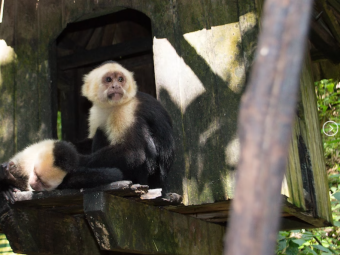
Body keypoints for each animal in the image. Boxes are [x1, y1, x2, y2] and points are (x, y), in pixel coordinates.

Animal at [0, 61, 174, 201]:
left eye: (120, 79)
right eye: (109, 80)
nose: (116, 86)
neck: (112, 107)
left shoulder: (128, 109)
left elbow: (134, 152)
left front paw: (77, 161)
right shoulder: (97, 110)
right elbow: (90, 139)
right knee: (101, 130)